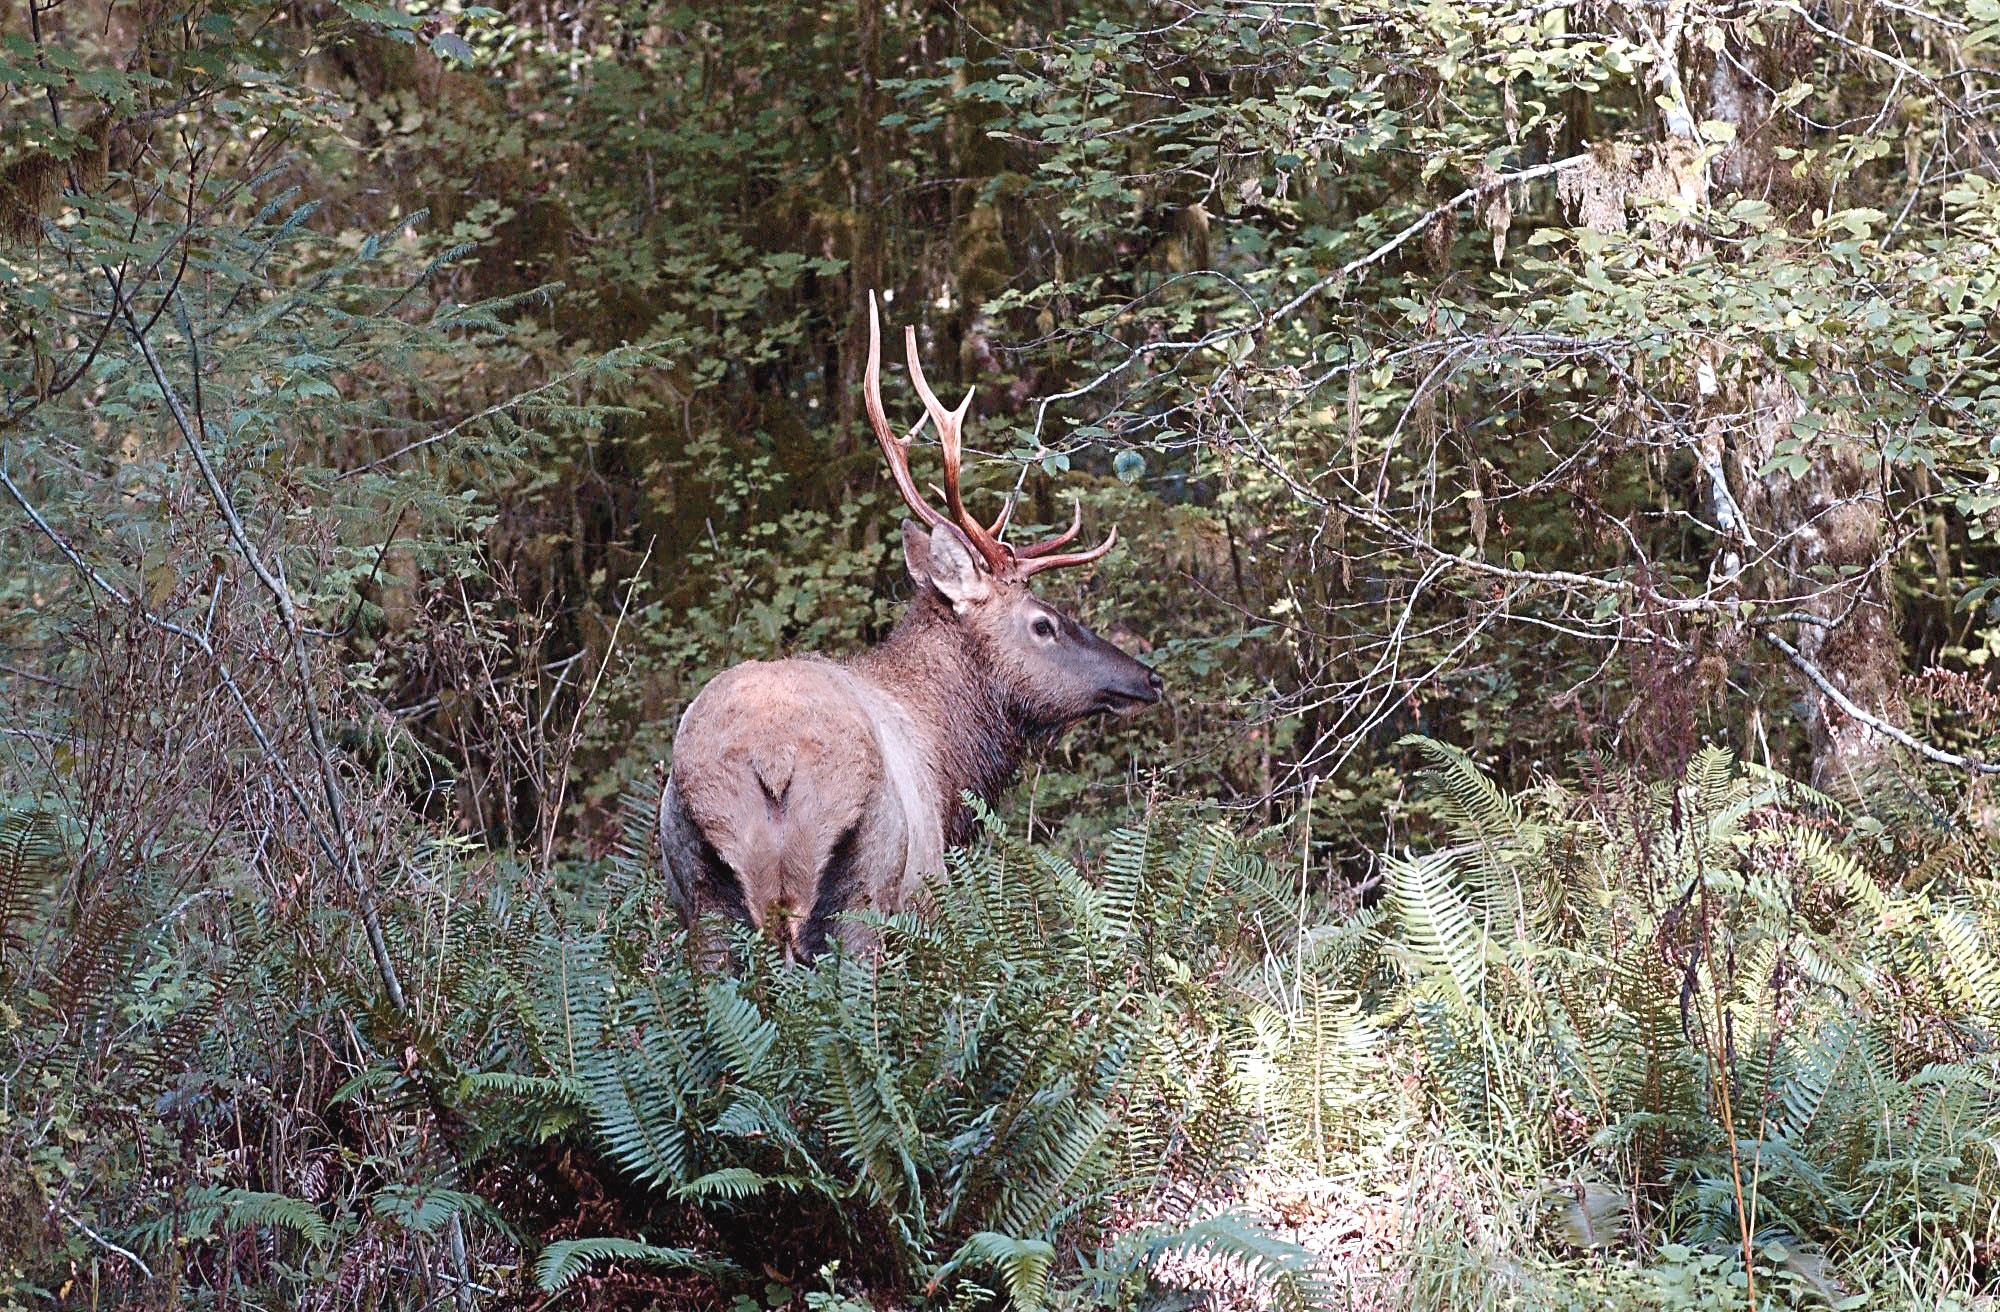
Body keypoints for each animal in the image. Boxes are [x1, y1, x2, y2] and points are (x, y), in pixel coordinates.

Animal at [660, 292, 1160, 960]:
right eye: (1043, 623)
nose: (1149, 677)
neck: (949, 765)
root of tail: (772, 760)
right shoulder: (929, 887)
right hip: (864, 887)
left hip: (699, 896)